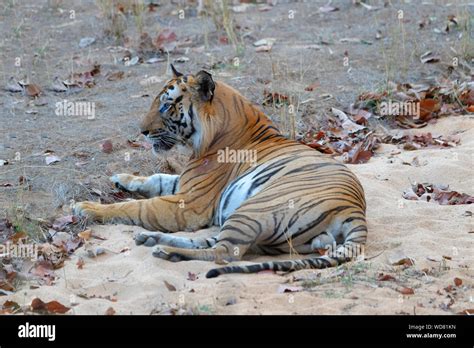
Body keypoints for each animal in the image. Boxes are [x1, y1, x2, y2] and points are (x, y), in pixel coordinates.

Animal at [73, 64, 366, 278]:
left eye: (166, 105)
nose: (142, 131)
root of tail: (355, 209)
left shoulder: (190, 203)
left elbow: (134, 207)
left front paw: (86, 207)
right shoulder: (186, 185)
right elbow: (158, 179)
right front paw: (121, 179)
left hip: (255, 207)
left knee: (224, 251)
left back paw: (165, 250)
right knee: (212, 242)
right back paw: (150, 239)